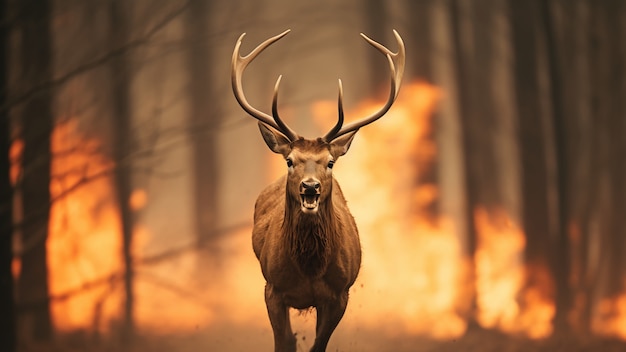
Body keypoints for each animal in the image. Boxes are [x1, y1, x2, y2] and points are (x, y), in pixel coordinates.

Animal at [230, 28, 404, 350]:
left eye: (330, 162)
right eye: (289, 160)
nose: (310, 187)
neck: (309, 269)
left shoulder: (340, 294)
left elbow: (317, 345)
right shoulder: (272, 289)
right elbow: (284, 342)